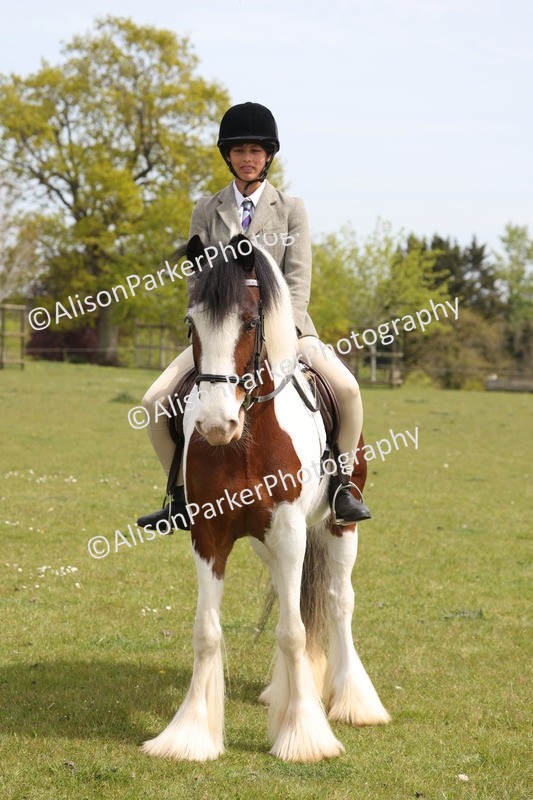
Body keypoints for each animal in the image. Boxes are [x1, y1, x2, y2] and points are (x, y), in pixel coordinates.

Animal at [141, 233, 390, 762]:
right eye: (191, 322)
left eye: (251, 322)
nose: (217, 424)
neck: (246, 439)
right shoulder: (210, 535)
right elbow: (206, 632)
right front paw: (190, 735)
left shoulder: (290, 530)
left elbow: (295, 631)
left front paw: (303, 736)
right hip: (263, 541)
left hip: (337, 526)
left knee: (338, 601)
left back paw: (353, 702)